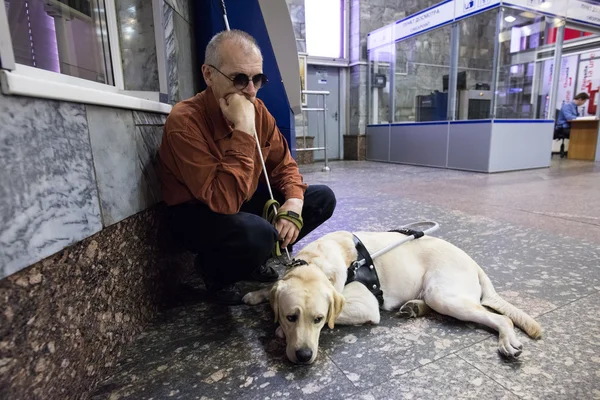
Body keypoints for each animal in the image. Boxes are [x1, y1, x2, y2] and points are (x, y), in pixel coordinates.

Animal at [241, 230, 540, 364]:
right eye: (291, 316)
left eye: (318, 319)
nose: (304, 356)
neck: (314, 263)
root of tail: (474, 263)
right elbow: (273, 287)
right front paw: (256, 294)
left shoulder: (365, 306)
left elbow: (337, 314)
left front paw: (279, 330)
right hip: (438, 295)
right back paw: (414, 307)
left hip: (444, 294)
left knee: (501, 319)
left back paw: (507, 342)